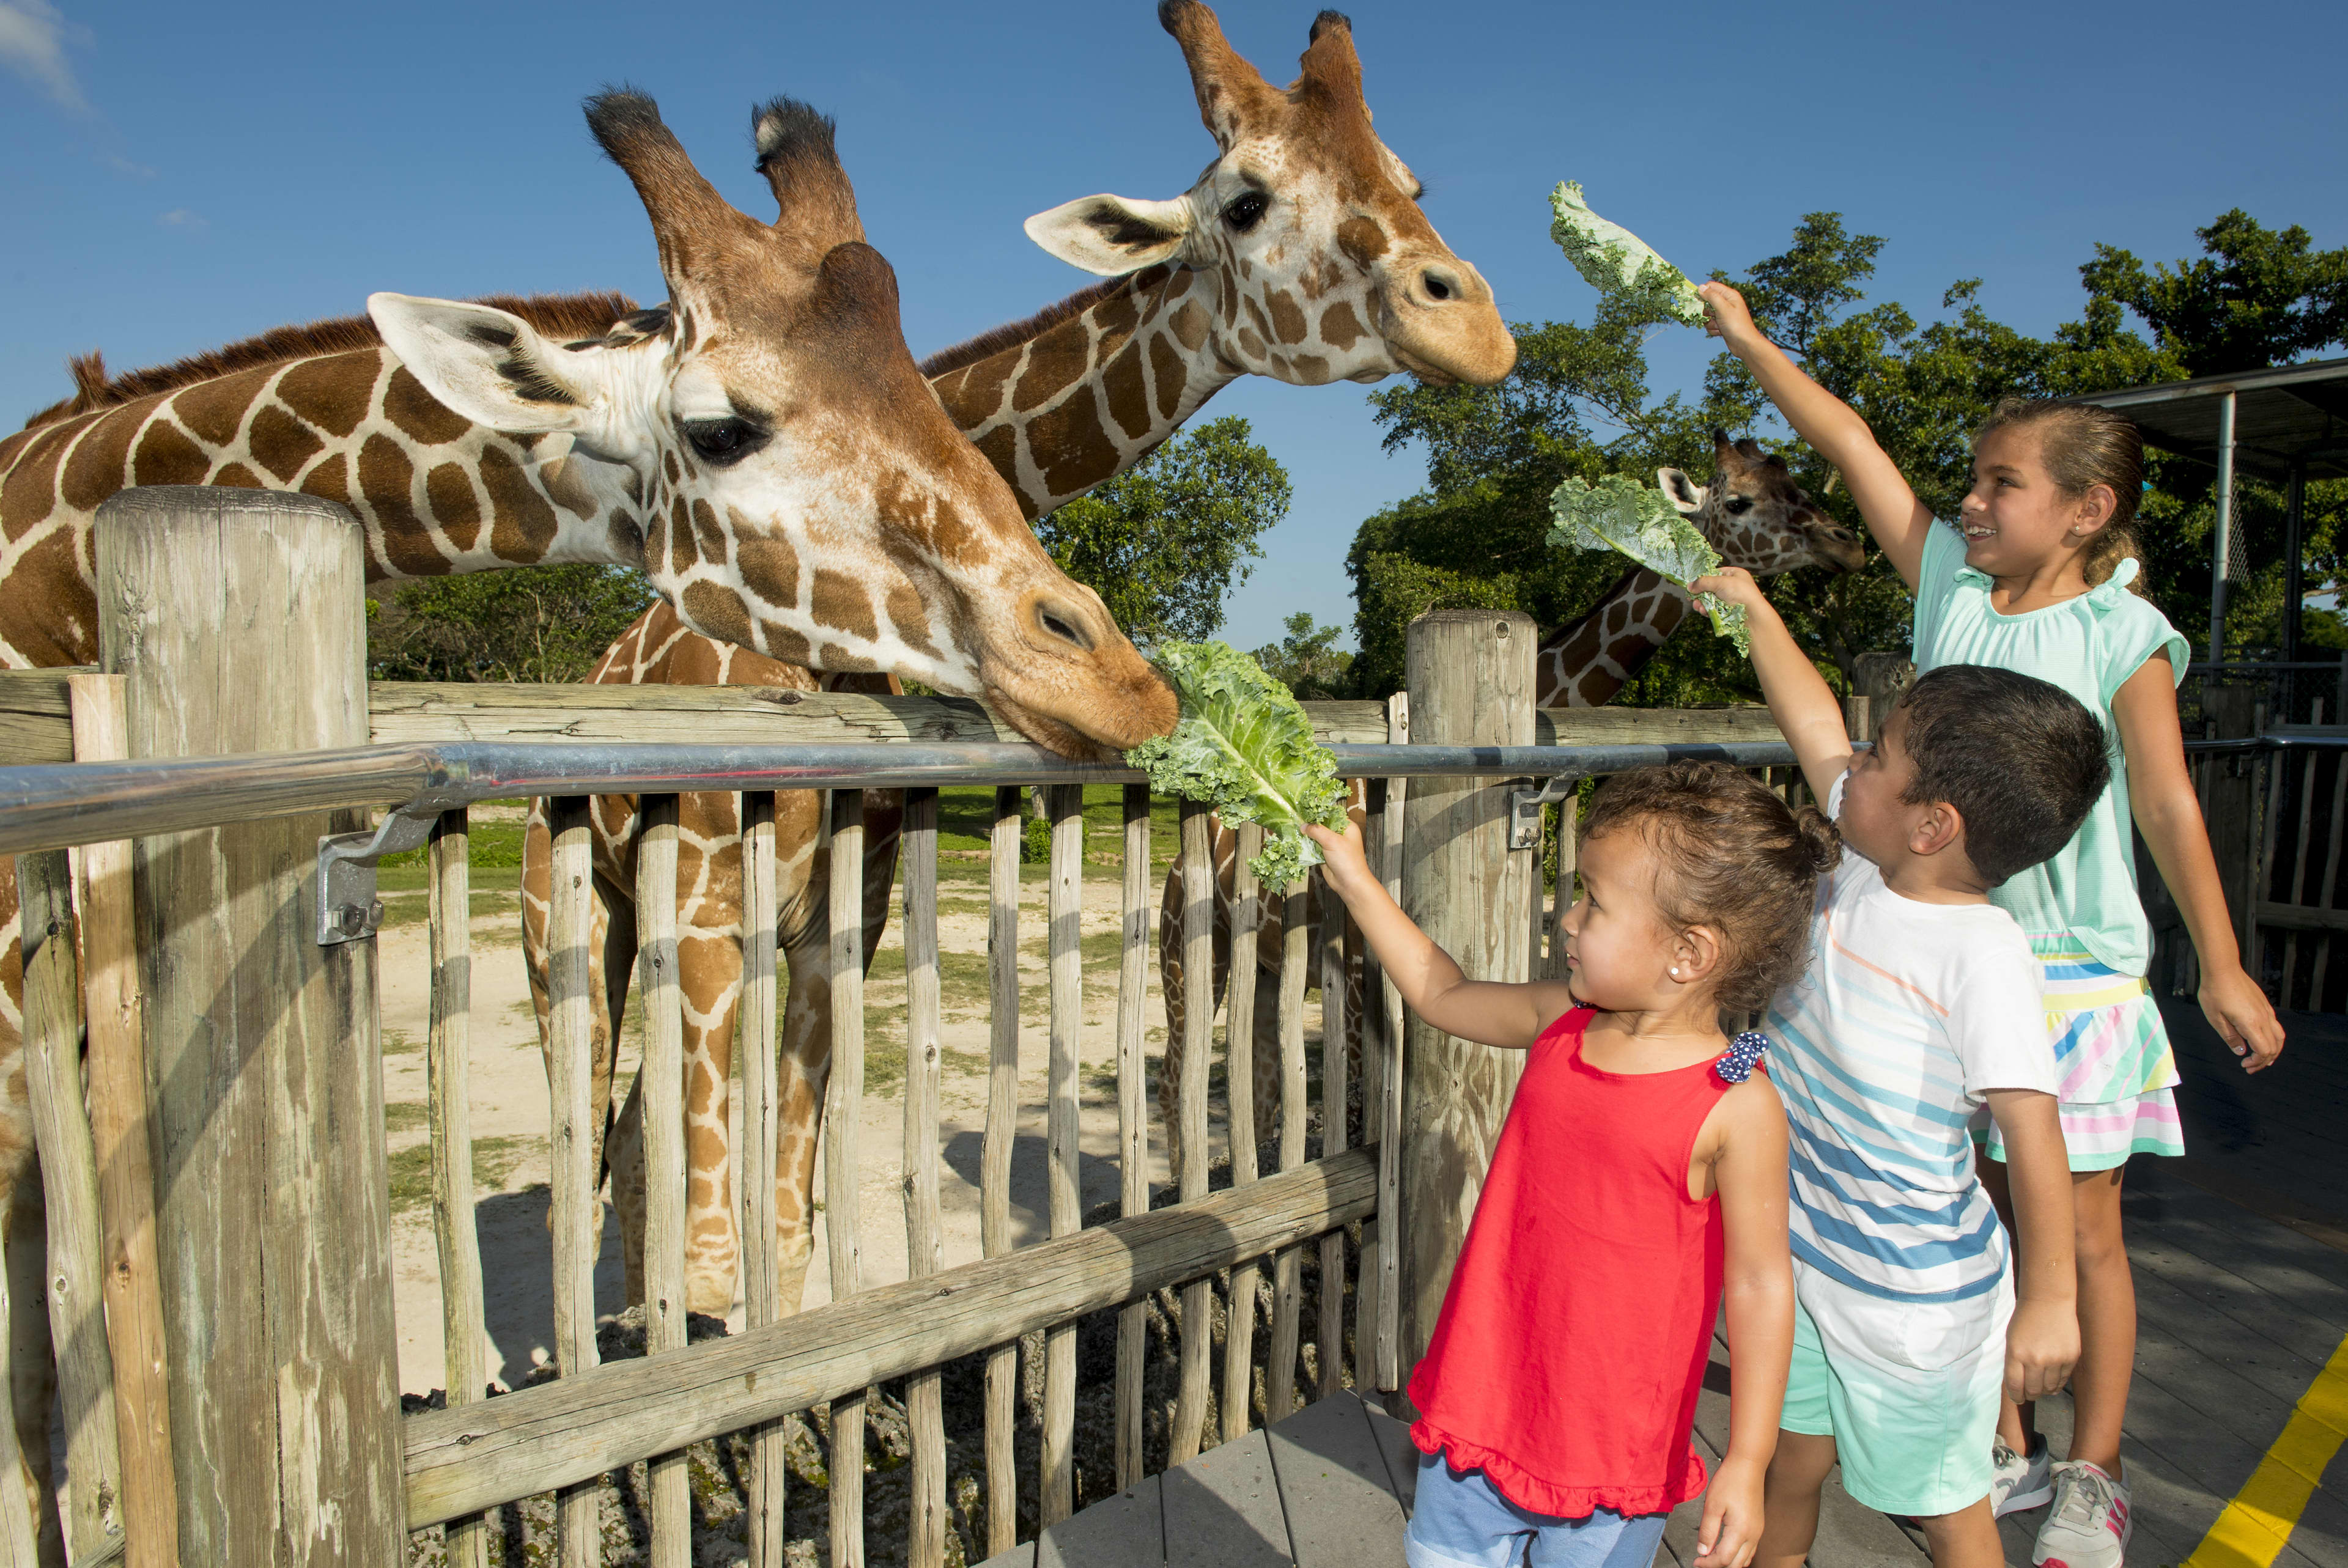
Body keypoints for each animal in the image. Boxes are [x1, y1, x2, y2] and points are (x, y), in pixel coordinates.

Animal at [526, 0, 1521, 1323]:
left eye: (1411, 182)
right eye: (1247, 198)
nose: (1478, 325)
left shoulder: (837, 922)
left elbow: (776, 1219)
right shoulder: (699, 909)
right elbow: (717, 1229)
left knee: (638, 1148)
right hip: (567, 923)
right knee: (591, 1142)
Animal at [1159, 432, 1869, 1173]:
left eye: (1794, 481)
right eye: (1740, 500)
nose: (1847, 544)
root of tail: (1185, 859)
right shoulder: (1355, 970)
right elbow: (1355, 1116)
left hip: (1270, 970)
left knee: (1261, 1085)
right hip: (1191, 947)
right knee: (1177, 1081)